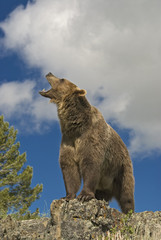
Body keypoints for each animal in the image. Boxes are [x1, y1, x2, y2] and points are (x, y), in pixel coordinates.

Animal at [39, 72, 135, 213]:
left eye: (62, 79)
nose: (49, 73)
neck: (76, 126)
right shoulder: (69, 141)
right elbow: (69, 169)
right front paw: (67, 196)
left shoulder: (92, 139)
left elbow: (91, 163)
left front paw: (84, 196)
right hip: (105, 183)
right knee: (103, 193)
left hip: (121, 167)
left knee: (126, 192)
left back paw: (129, 211)